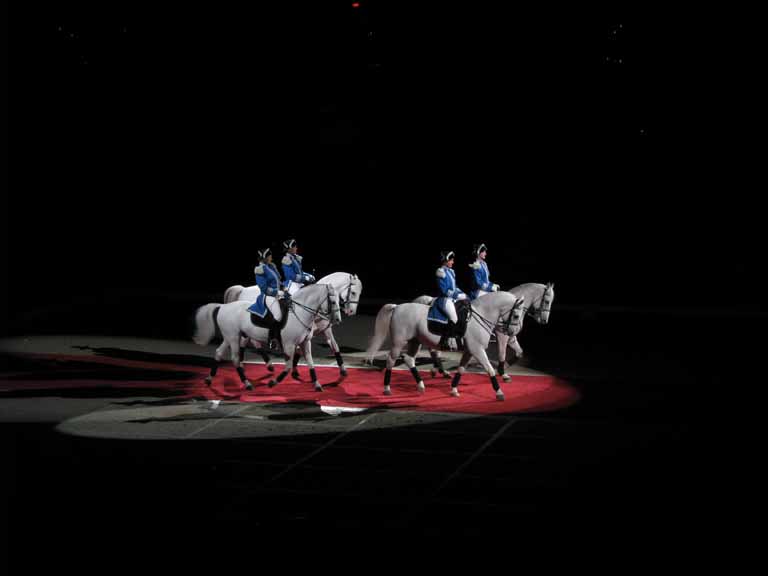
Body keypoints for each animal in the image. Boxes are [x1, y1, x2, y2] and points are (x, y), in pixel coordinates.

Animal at [195, 284, 342, 392]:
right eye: (333, 301)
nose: (337, 320)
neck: (300, 312)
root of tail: (222, 306)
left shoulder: (305, 342)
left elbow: (311, 363)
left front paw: (317, 384)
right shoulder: (289, 344)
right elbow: (288, 366)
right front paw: (273, 382)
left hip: (229, 337)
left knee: (219, 353)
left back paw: (209, 379)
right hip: (233, 337)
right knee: (236, 358)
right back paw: (247, 383)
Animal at [220, 274, 362, 378]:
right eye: (353, 293)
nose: (351, 312)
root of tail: (242, 289)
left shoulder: (323, 330)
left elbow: (334, 346)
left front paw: (343, 370)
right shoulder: (301, 332)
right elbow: (299, 350)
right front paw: (294, 370)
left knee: (253, 342)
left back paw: (267, 365)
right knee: (246, 342)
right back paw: (245, 364)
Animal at [364, 292, 520, 400]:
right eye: (517, 316)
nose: (512, 332)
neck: (480, 315)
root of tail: (397, 307)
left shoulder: (470, 351)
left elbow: (461, 369)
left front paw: (454, 390)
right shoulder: (477, 350)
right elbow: (490, 370)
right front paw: (499, 392)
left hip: (415, 341)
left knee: (409, 359)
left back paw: (421, 385)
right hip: (399, 343)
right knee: (391, 360)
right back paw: (387, 388)